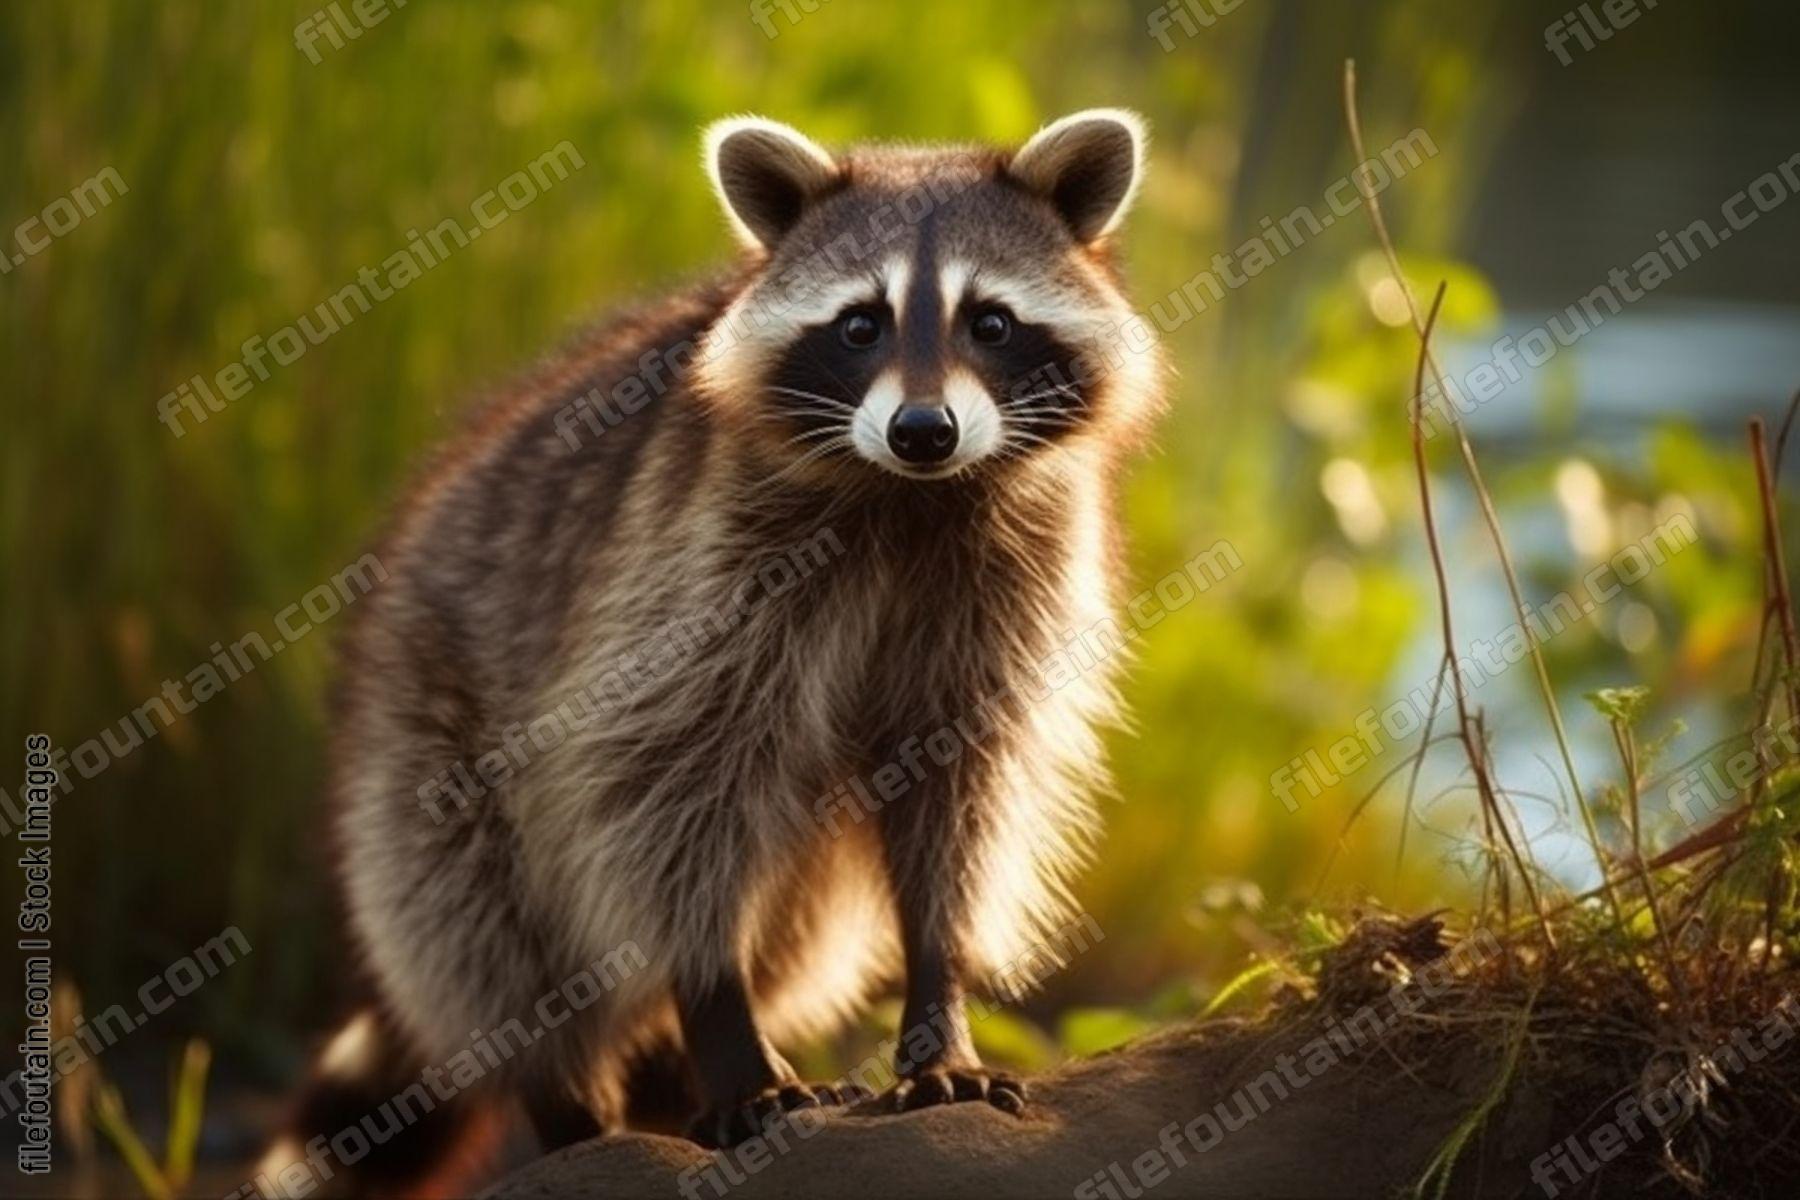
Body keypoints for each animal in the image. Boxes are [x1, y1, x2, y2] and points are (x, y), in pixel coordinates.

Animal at [256, 109, 1163, 1195]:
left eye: (991, 322)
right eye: (860, 324)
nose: (922, 430)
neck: (911, 497)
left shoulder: (1008, 587)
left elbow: (961, 799)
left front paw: (938, 1001)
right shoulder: (695, 576)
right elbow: (667, 793)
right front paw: (724, 1024)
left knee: (794, 932)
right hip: (425, 733)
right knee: (482, 933)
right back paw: (575, 1113)